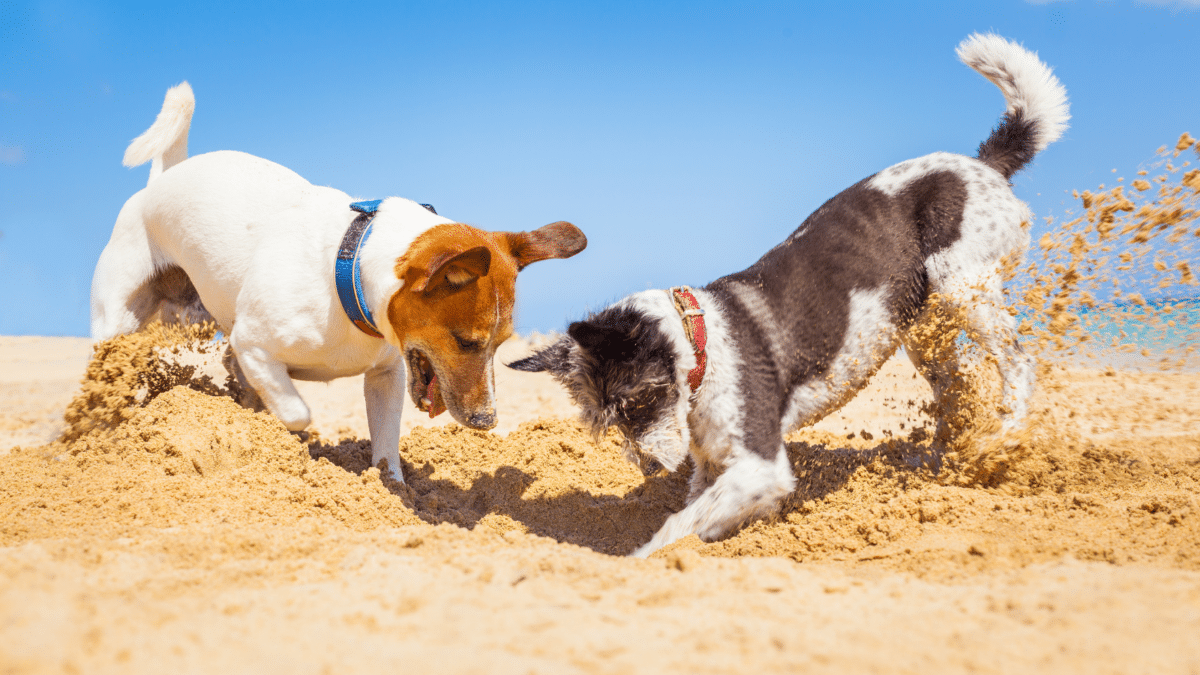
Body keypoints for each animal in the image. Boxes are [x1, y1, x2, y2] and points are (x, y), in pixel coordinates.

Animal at [88, 82, 585, 478]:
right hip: (119, 322)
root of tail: (164, 178)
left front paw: (391, 489)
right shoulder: (253, 344)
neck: (349, 273)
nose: (487, 422)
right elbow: (296, 412)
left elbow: (386, 446)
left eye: (501, 344)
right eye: (466, 342)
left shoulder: (386, 374)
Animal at [506, 34, 1070, 554]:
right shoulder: (715, 465)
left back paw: (1001, 440)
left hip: (963, 287)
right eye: (603, 421)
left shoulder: (761, 465)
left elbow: (675, 527)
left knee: (1019, 364)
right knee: (956, 388)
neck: (702, 343)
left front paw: (641, 560)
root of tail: (984, 164)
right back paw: (941, 462)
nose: (646, 467)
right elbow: (700, 511)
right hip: (924, 326)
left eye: (636, 402)